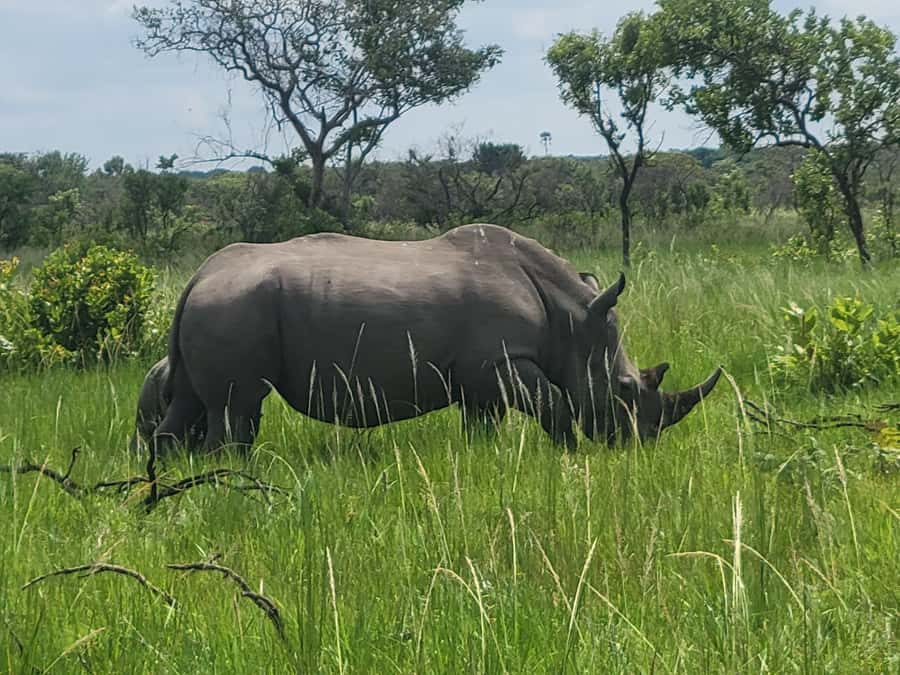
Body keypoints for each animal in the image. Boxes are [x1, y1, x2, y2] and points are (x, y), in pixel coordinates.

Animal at [152, 223, 720, 452]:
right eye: (625, 389)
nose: (640, 444)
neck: (572, 319)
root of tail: (197, 277)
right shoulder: (502, 362)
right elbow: (555, 405)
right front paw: (569, 455)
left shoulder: (481, 377)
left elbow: (483, 425)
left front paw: (485, 460)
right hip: (232, 308)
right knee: (237, 407)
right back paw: (229, 475)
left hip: (219, 307)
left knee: (189, 406)